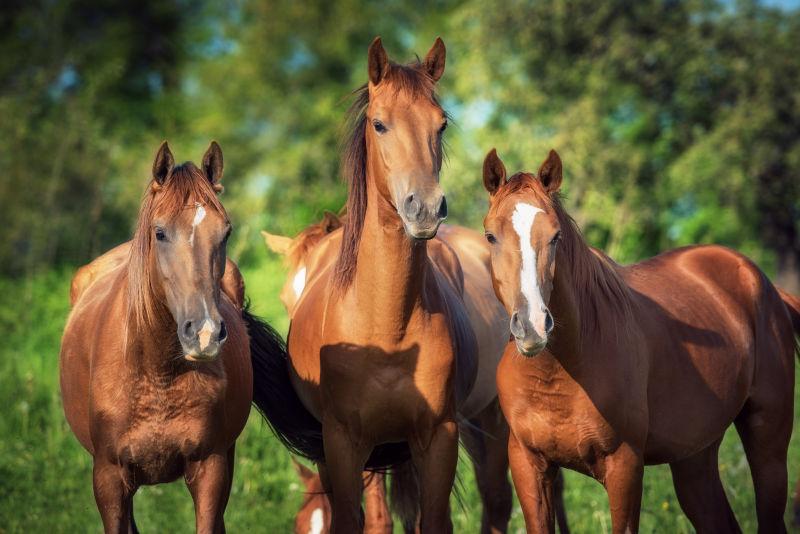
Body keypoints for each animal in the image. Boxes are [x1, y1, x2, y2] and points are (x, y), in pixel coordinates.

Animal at [60, 142, 276, 534]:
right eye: (160, 233)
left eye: (226, 233)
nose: (204, 333)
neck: (157, 372)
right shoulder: (109, 479)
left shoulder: (210, 469)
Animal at [250, 38, 512, 534]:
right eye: (379, 123)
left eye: (441, 123)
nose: (424, 208)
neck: (387, 326)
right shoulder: (345, 443)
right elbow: (364, 520)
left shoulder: (439, 435)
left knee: (499, 499)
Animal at [478, 148, 796, 534]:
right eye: (491, 236)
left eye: (555, 236)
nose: (532, 326)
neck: (559, 373)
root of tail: (763, 284)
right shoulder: (528, 465)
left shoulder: (624, 466)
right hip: (695, 459)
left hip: (768, 444)